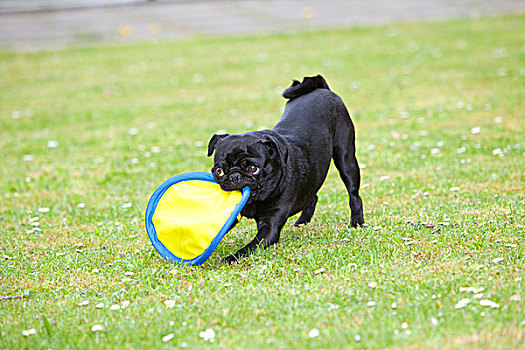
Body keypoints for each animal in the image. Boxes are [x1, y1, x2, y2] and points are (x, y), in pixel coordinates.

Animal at [207, 76, 362, 262]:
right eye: (219, 171)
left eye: (253, 168)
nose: (234, 176)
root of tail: (322, 88)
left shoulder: (269, 227)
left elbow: (248, 248)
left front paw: (229, 259)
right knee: (312, 195)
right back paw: (302, 223)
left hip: (346, 159)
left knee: (354, 195)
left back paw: (357, 223)